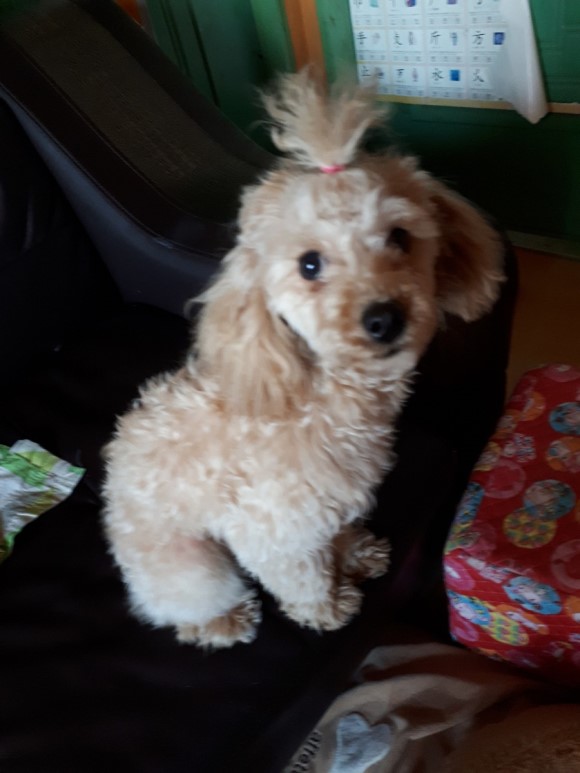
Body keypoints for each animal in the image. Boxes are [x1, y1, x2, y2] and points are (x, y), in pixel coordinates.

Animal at [102, 71, 504, 649]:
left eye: (400, 237)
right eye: (309, 264)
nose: (383, 319)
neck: (319, 394)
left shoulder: (329, 501)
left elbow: (336, 534)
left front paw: (354, 554)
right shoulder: (271, 528)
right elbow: (303, 577)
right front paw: (327, 609)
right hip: (194, 566)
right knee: (179, 608)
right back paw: (221, 622)